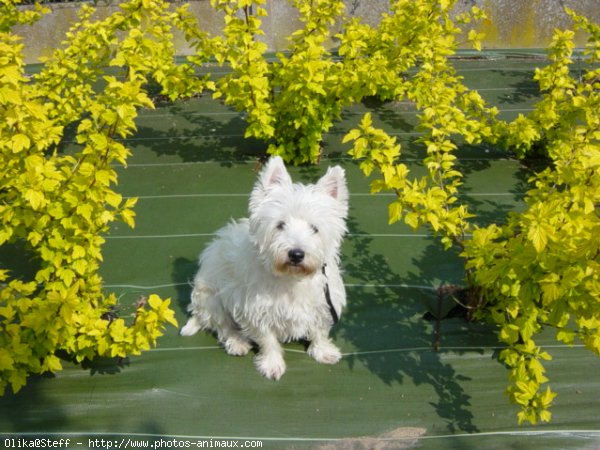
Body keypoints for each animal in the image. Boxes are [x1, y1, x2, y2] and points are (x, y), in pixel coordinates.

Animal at [180, 156, 350, 378]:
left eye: (314, 228)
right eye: (280, 224)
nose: (296, 254)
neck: (291, 279)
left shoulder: (324, 301)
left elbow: (319, 330)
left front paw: (323, 352)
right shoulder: (255, 309)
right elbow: (267, 339)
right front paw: (272, 364)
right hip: (211, 297)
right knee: (223, 326)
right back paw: (237, 342)